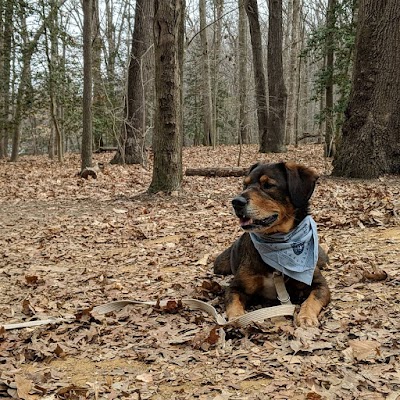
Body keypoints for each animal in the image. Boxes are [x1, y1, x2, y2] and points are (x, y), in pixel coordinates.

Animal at [214, 161, 330, 326]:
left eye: (268, 185)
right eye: (245, 185)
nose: (236, 202)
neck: (277, 242)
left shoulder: (319, 284)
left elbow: (313, 299)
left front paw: (306, 316)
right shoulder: (236, 287)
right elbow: (233, 301)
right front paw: (237, 317)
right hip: (220, 265)